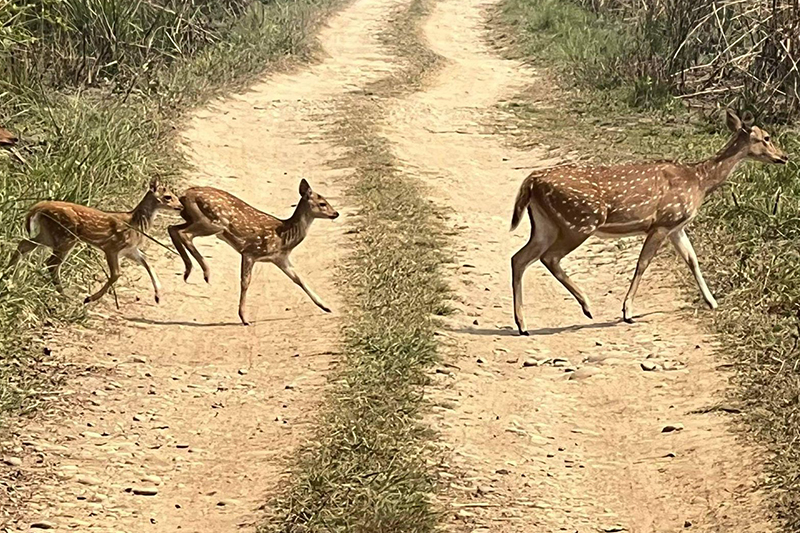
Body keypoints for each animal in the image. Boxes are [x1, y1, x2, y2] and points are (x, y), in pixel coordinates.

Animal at [6, 179, 181, 304]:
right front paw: (89, 298)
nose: (180, 206)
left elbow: (147, 263)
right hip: (65, 236)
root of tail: (40, 207)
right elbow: (116, 274)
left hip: (48, 235)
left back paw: (9, 275)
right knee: (51, 263)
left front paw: (158, 295)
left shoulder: (130, 250)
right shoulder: (112, 247)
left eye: (176, 196)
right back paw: (64, 296)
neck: (135, 223)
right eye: (168, 197)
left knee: (24, 244)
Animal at [170, 178, 340, 324]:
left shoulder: (280, 258)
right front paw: (244, 318)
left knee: (173, 228)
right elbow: (245, 282)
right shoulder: (250, 251)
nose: (336, 213)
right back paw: (205, 271)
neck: (284, 236)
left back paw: (188, 270)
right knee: (184, 233)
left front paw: (325, 306)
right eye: (322, 203)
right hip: (213, 222)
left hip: (193, 218)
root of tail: (185, 194)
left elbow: (299, 279)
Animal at [512, 108, 788, 334]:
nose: (784, 157)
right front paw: (627, 312)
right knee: (549, 257)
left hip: (546, 225)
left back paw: (523, 324)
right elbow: (642, 264)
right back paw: (587, 307)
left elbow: (692, 260)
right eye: (766, 138)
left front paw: (712, 302)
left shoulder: (677, 226)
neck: (698, 181)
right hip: (579, 221)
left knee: (519, 258)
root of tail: (532, 181)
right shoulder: (662, 223)